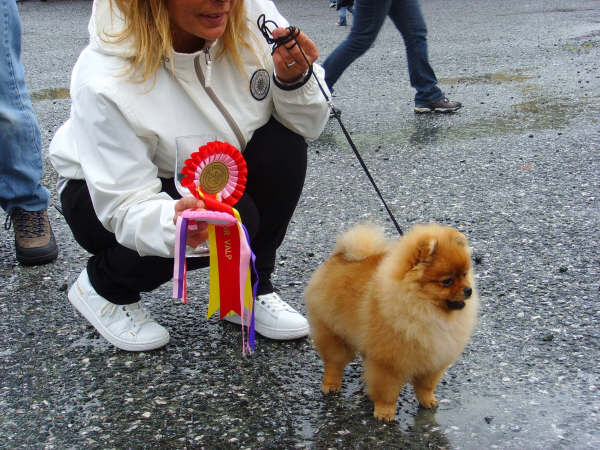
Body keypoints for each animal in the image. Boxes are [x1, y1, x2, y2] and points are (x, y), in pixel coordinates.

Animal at [304, 223, 478, 420]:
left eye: (464, 274)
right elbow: (387, 391)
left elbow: (426, 386)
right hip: (333, 332)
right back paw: (331, 384)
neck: (425, 310)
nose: (469, 290)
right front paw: (384, 412)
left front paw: (428, 401)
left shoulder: (433, 361)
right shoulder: (389, 363)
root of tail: (340, 255)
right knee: (334, 362)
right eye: (447, 281)